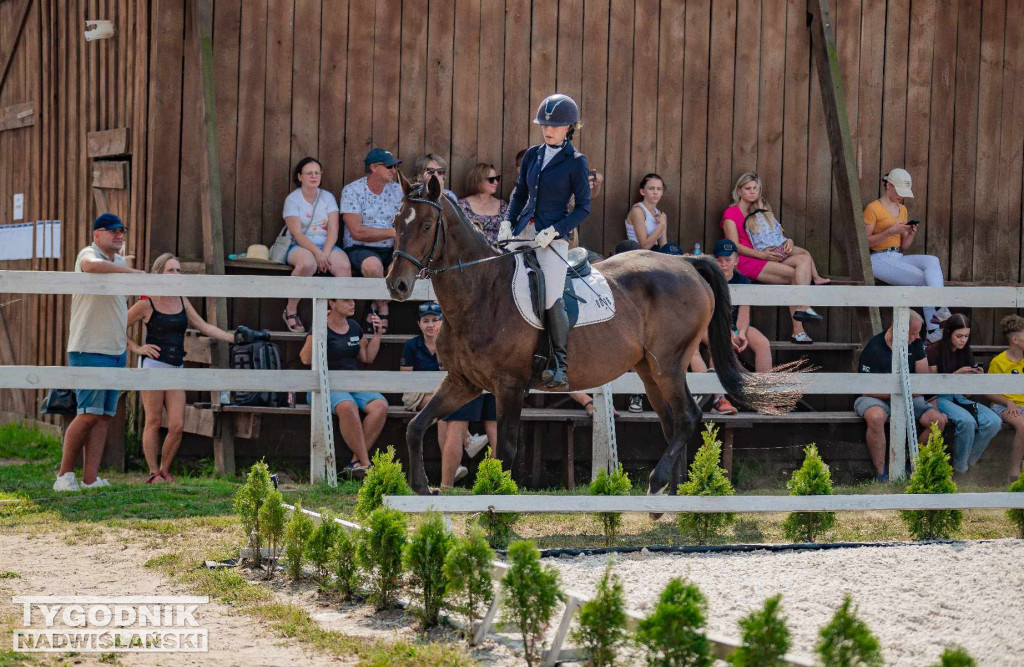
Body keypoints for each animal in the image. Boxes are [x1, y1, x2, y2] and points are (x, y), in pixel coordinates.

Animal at [382, 171, 782, 495]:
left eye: (426, 226)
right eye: (396, 222)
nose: (396, 285)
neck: (480, 290)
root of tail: (686, 263)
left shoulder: (508, 385)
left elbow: (506, 450)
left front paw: (494, 505)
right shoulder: (463, 381)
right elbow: (416, 426)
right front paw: (421, 488)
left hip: (667, 364)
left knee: (686, 418)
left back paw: (658, 484)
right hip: (650, 371)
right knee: (673, 423)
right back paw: (670, 496)